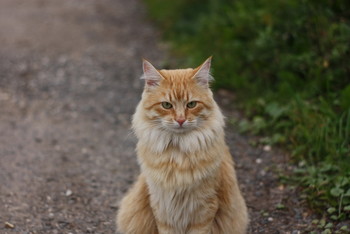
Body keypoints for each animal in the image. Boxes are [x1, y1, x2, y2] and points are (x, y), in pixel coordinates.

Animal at [117, 57, 249, 234]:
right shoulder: (162, 208)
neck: (176, 152)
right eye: (166, 105)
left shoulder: (204, 208)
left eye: (191, 104)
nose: (180, 120)